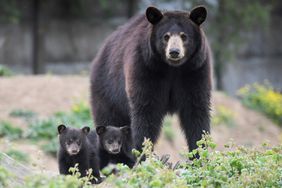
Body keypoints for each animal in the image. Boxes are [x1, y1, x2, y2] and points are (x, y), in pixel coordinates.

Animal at [90, 6, 212, 154]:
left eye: (184, 36)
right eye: (166, 36)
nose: (174, 52)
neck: (173, 68)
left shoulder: (196, 69)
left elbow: (196, 110)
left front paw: (199, 153)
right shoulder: (146, 67)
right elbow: (146, 110)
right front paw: (142, 152)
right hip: (108, 90)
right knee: (110, 120)